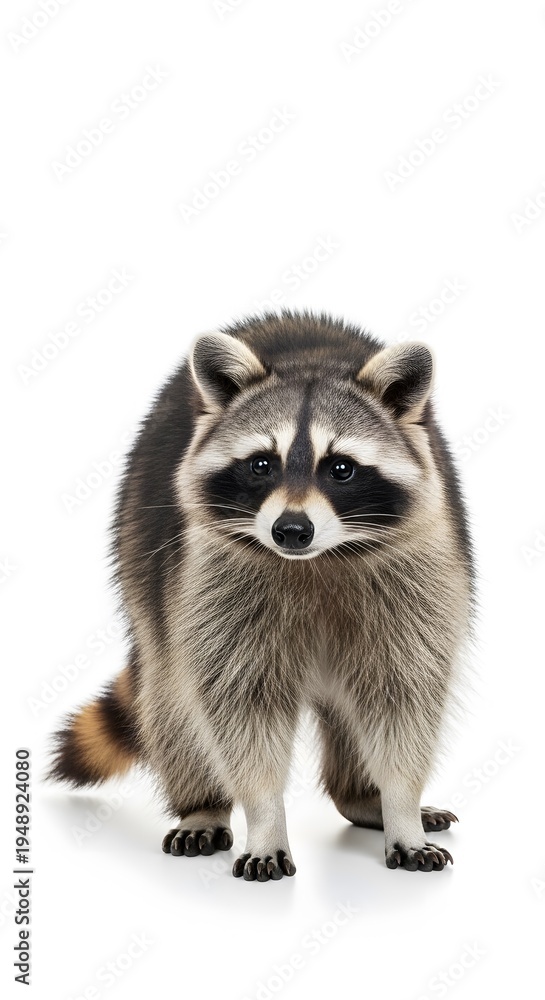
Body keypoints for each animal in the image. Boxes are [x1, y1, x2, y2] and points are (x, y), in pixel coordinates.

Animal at [49, 311, 473, 879]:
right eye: (261, 465)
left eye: (341, 468)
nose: (290, 530)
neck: (316, 561)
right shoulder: (216, 578)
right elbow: (241, 706)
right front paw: (265, 817)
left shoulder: (417, 568)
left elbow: (402, 694)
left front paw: (400, 804)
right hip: (141, 547)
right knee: (171, 693)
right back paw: (202, 803)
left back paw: (363, 797)